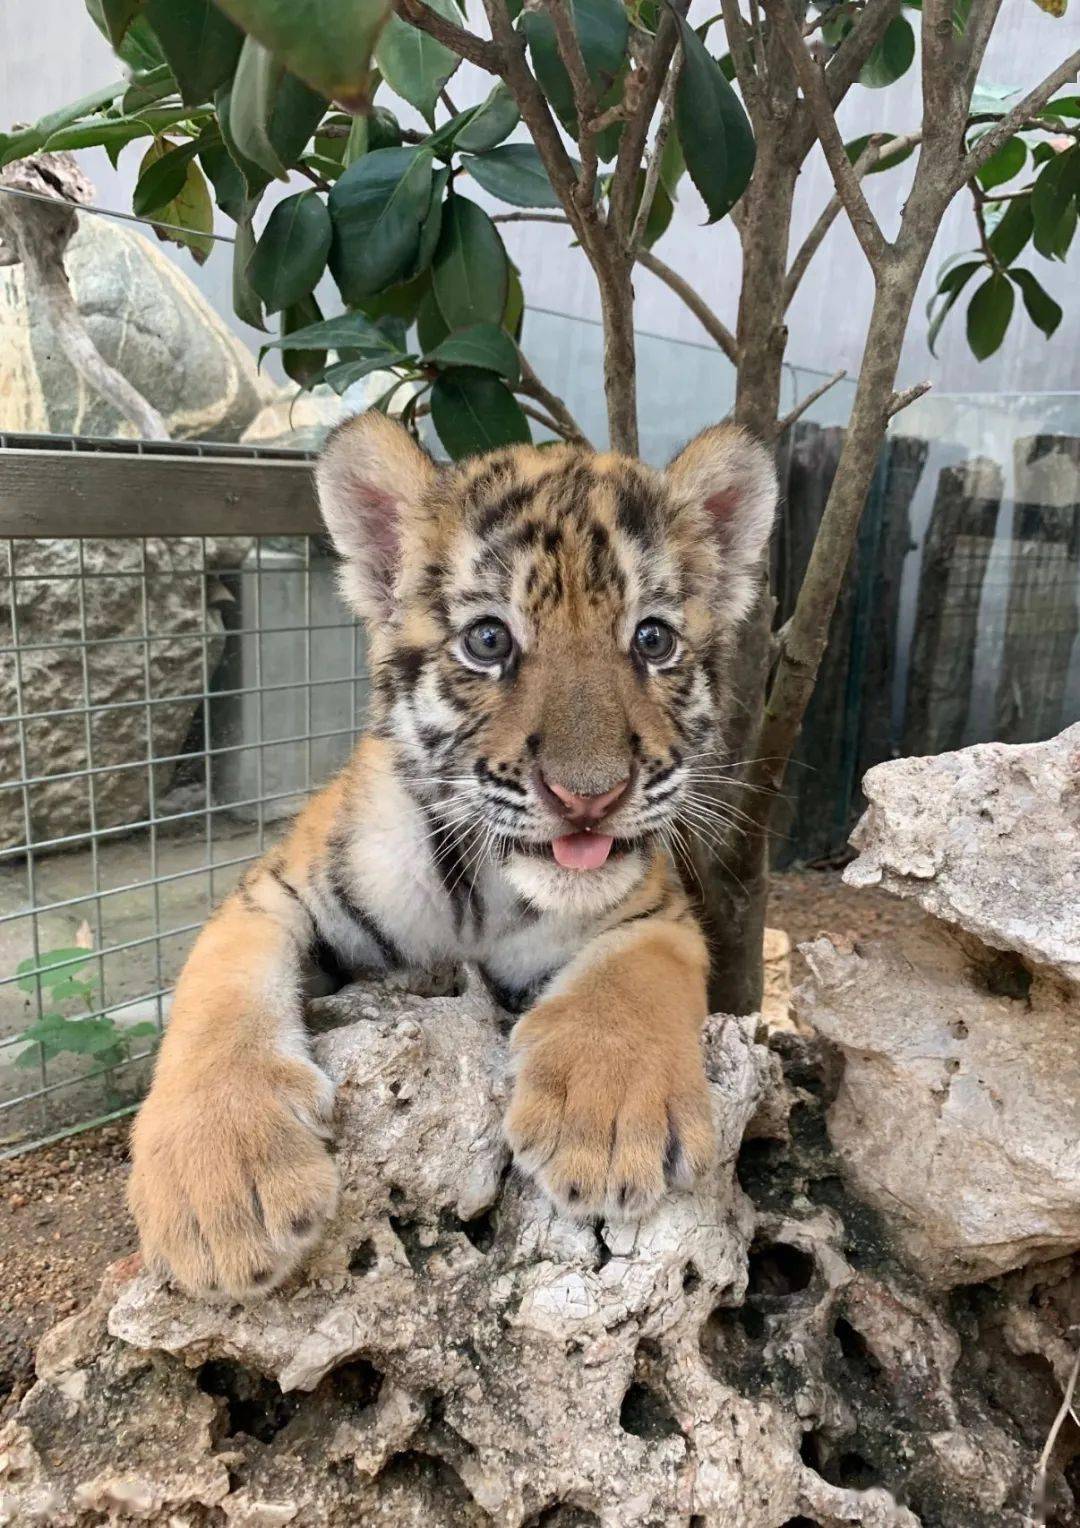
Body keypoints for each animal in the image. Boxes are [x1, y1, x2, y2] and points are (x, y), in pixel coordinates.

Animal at [128, 410, 778, 1299]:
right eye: (488, 640)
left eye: (652, 639)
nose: (589, 795)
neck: (484, 894)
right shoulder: (271, 892)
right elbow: (220, 990)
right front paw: (220, 1185)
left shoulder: (659, 909)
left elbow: (631, 980)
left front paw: (606, 1123)